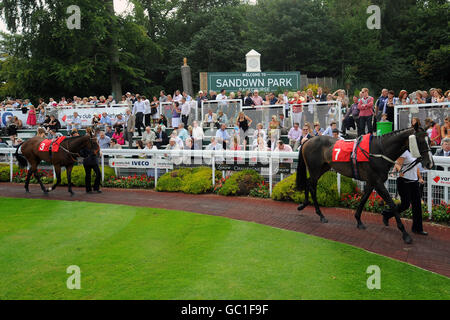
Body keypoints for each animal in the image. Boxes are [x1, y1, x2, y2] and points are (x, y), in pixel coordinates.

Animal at [298, 124, 434, 244]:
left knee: (308, 183)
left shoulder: (371, 182)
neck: (379, 151)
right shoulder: (378, 182)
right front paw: (405, 234)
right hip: (315, 169)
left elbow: (364, 199)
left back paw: (304, 205)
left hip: (323, 167)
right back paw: (320, 214)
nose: (430, 164)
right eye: (420, 141)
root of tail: (308, 140)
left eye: (430, 141)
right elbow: (392, 204)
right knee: (312, 186)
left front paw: (359, 220)